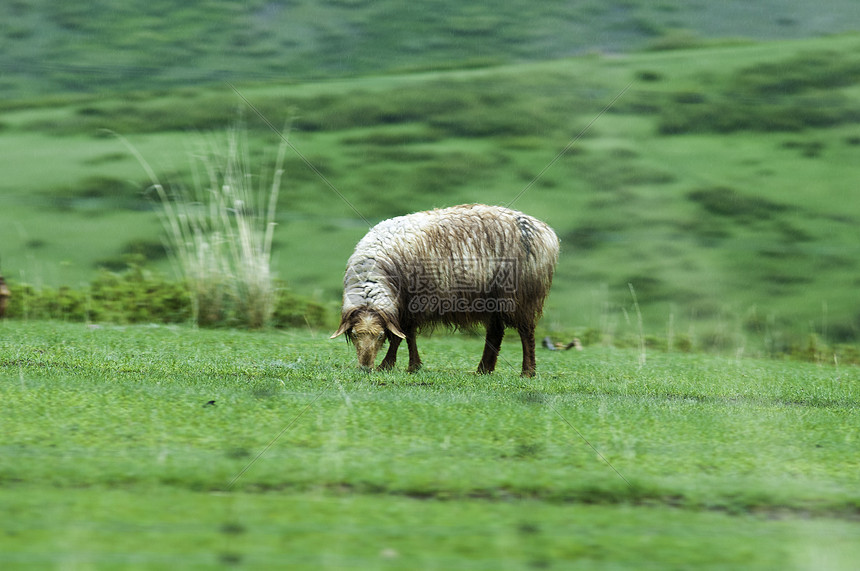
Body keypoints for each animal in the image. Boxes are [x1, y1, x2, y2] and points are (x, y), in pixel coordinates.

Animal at [330, 203, 556, 378]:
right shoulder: (405, 306)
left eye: (379, 336)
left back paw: (527, 371)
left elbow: (400, 337)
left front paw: (389, 365)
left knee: (526, 333)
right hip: (493, 300)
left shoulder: (412, 303)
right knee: (495, 333)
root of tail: (545, 231)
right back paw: (483, 370)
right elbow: (408, 336)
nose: (365, 368)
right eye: (355, 335)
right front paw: (412, 366)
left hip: (522, 296)